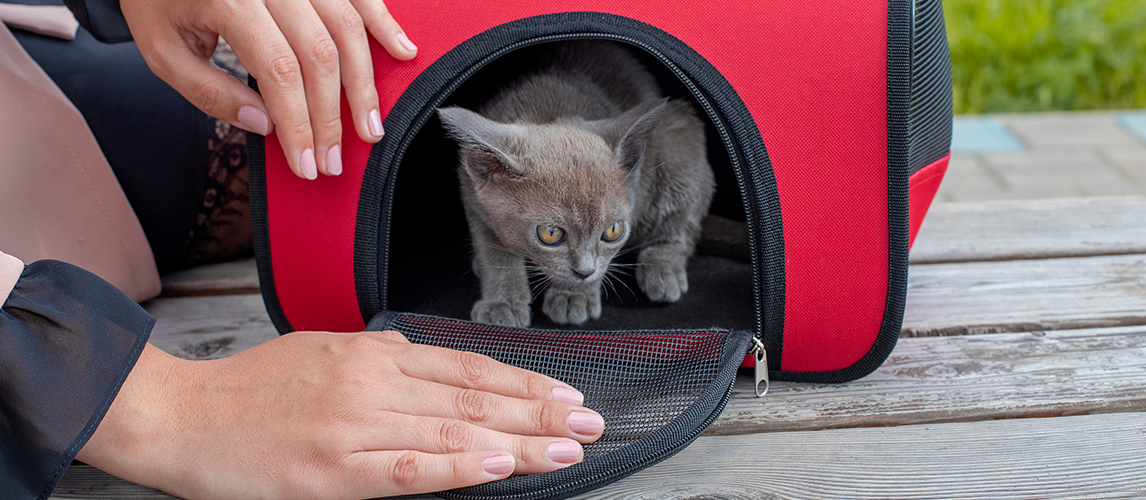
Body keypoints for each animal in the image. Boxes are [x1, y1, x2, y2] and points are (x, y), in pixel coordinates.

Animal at [440, 40, 715, 325]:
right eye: (550, 234)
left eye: (613, 230)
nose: (584, 271)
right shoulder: (472, 198)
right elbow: (495, 252)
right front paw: (502, 302)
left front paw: (573, 296)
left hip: (678, 137)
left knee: (683, 230)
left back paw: (662, 268)